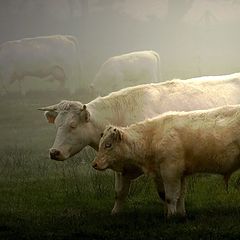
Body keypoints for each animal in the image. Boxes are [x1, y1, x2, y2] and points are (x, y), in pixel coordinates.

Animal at [92, 104, 240, 217]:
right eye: (100, 144)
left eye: (108, 145)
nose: (94, 164)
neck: (151, 137)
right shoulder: (174, 173)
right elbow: (177, 195)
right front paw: (180, 214)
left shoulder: (170, 171)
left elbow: (170, 197)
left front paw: (171, 216)